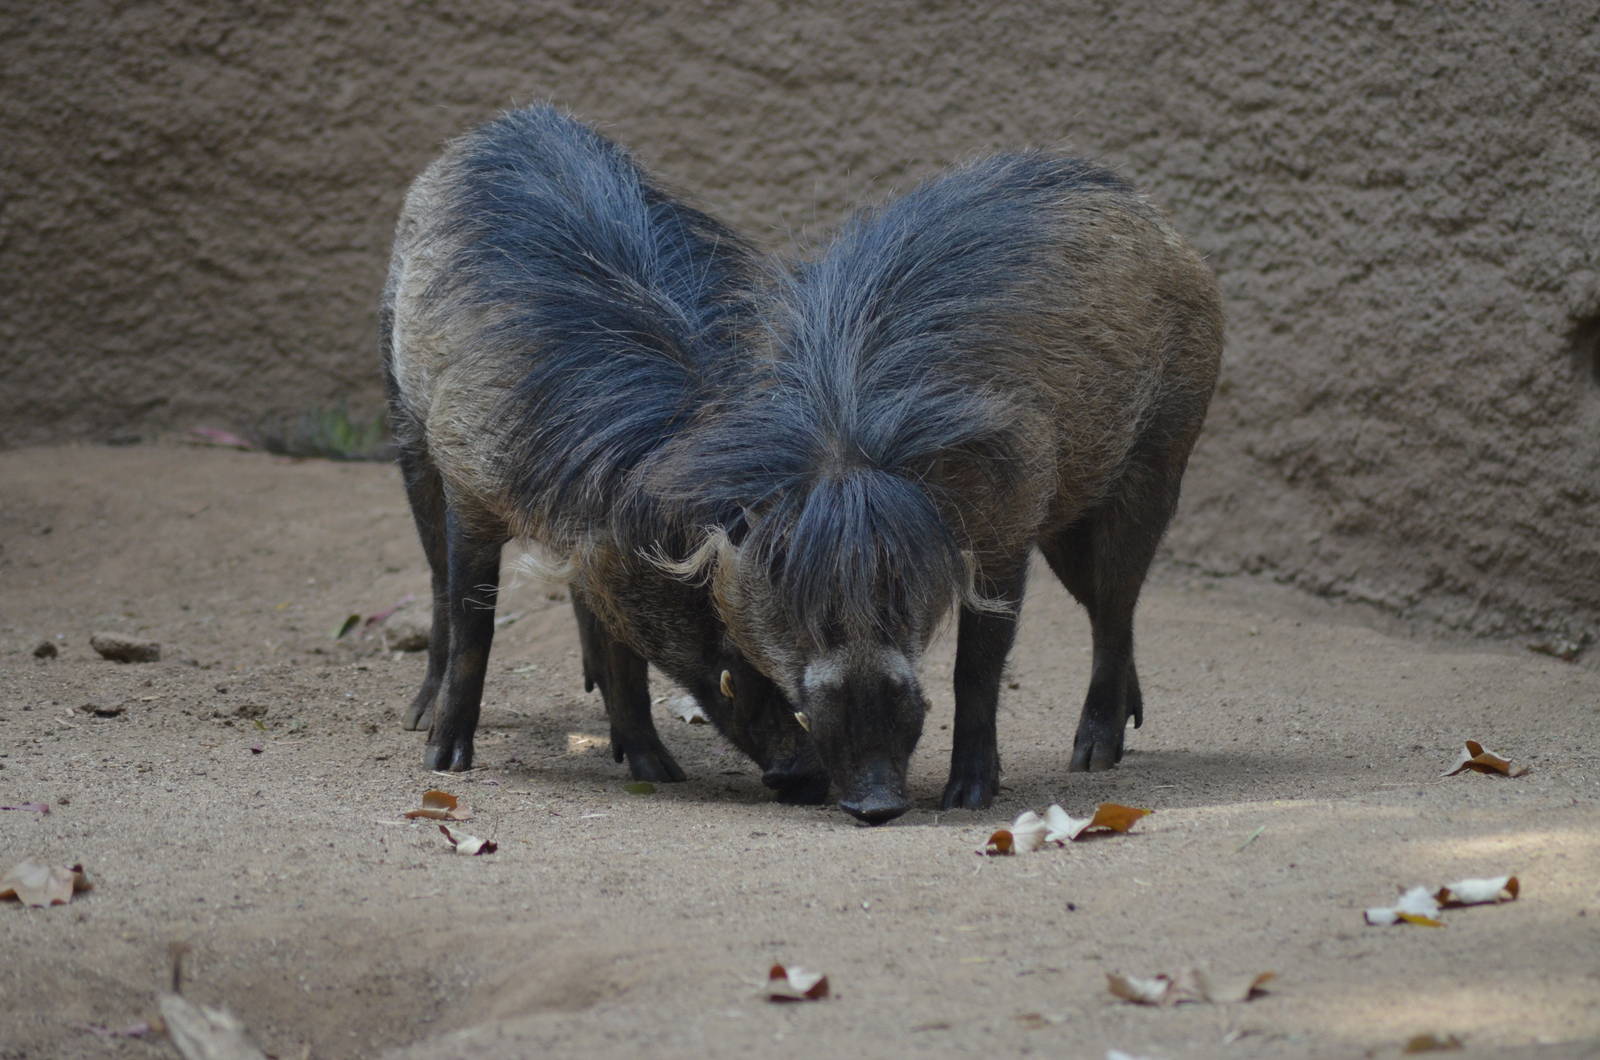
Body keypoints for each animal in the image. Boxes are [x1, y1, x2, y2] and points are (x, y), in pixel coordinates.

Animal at [380, 104, 824, 802]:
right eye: (711, 600)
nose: (807, 776)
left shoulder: (607, 552)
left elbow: (626, 658)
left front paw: (656, 770)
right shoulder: (470, 484)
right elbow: (473, 621)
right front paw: (443, 761)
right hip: (405, 423)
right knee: (435, 582)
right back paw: (419, 715)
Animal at [648, 152, 1223, 823]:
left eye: (899, 587)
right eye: (792, 591)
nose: (875, 805)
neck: (845, 445)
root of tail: (1163, 226)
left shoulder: (1002, 538)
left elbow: (976, 666)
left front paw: (968, 798)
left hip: (1152, 467)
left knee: (1115, 605)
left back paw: (1093, 757)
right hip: (1068, 516)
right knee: (1107, 610)